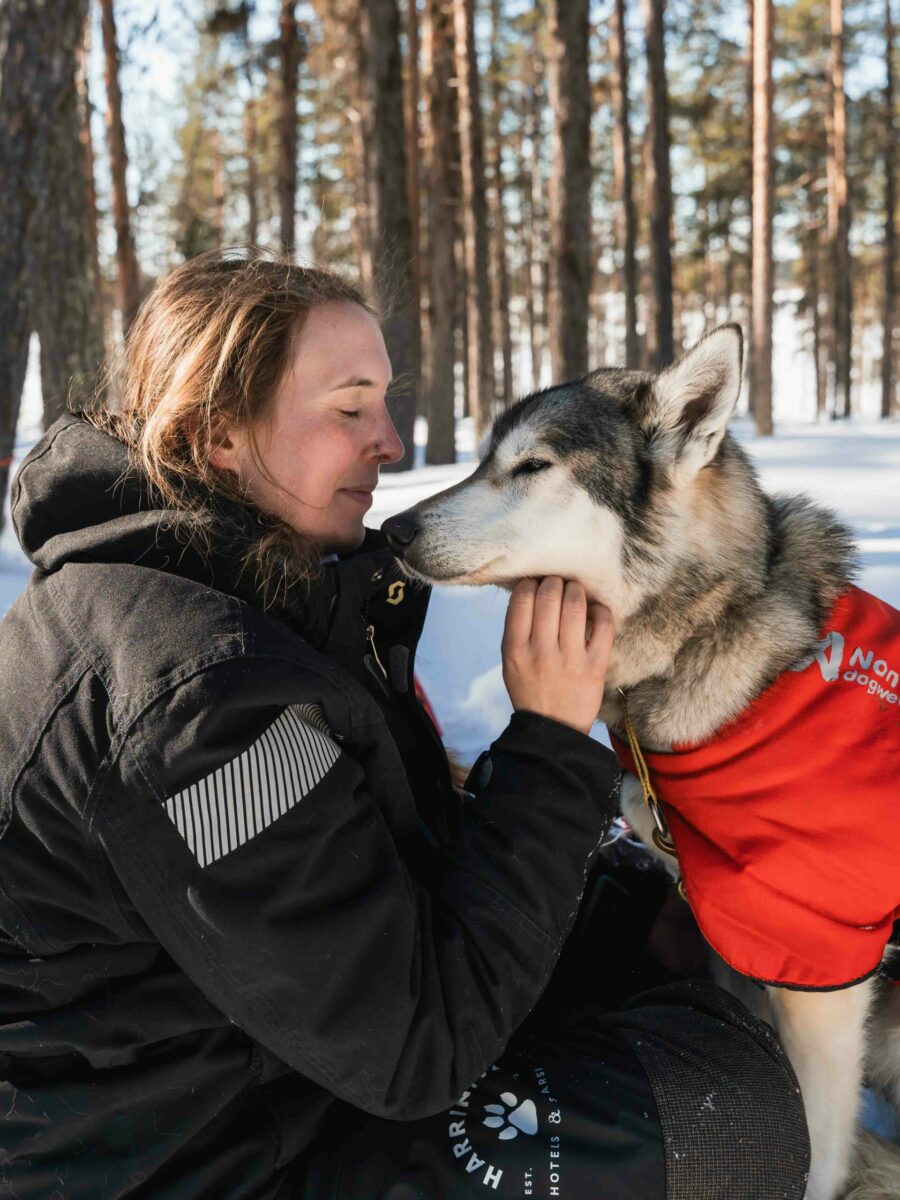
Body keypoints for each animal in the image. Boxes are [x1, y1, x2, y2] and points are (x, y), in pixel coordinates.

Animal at [384, 328, 900, 1200]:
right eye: (485, 460)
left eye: (532, 465)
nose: (391, 528)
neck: (711, 632)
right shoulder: (735, 942)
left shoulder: (819, 976)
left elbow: (817, 1146)